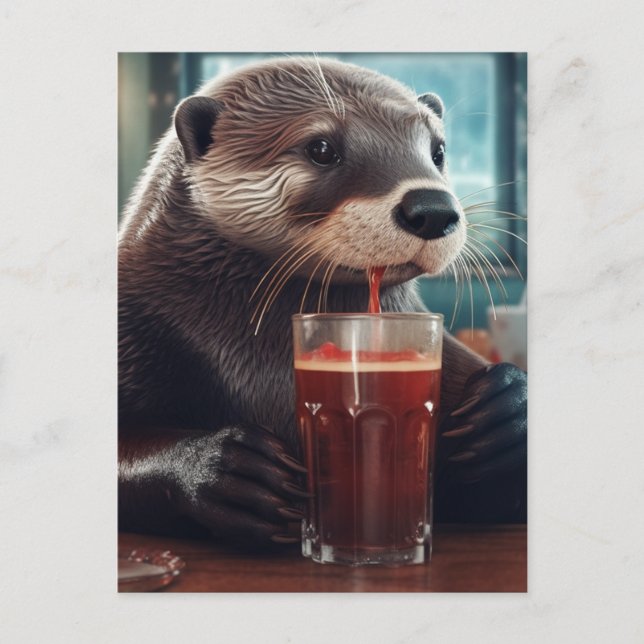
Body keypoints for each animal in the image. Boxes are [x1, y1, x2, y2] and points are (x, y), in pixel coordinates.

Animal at [119, 57, 527, 547]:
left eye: (439, 151)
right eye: (321, 148)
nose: (433, 208)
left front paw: (504, 411)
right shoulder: (130, 332)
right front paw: (223, 471)